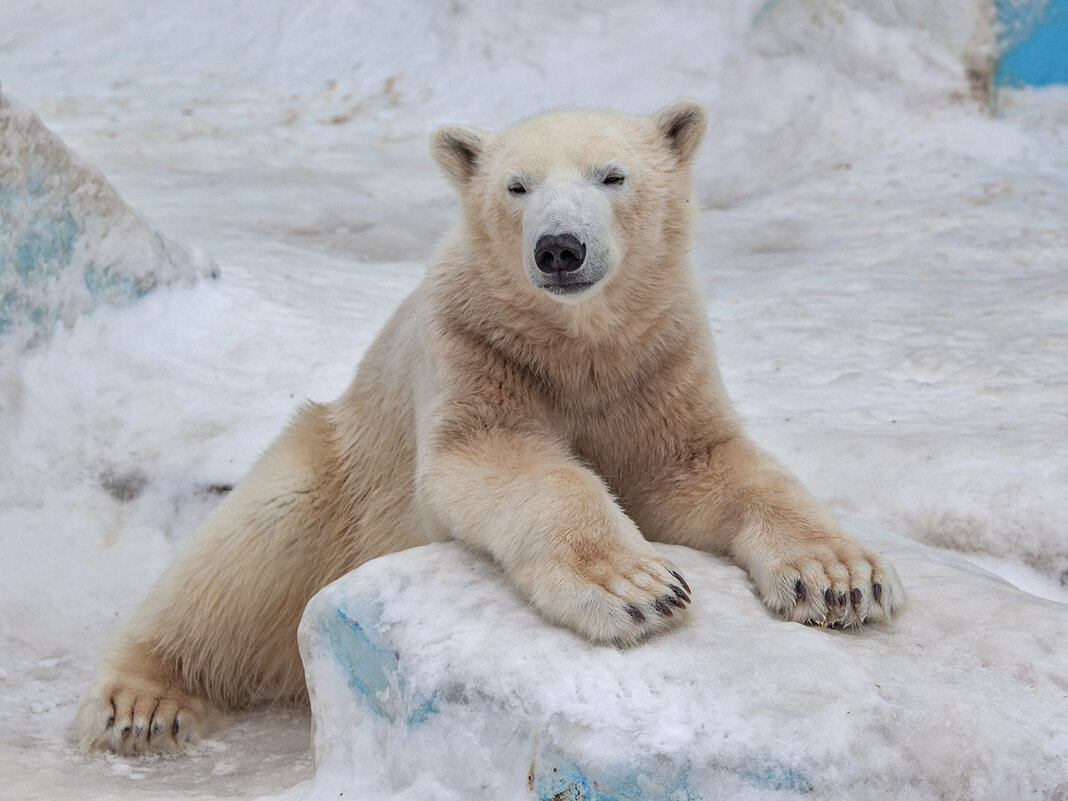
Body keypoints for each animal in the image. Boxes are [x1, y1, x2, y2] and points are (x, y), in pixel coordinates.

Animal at [77, 98, 901, 751]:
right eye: (517, 185)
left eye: (612, 175)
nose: (560, 246)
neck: (580, 349)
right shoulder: (476, 349)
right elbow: (497, 461)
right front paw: (638, 588)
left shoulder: (658, 364)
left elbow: (707, 467)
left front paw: (842, 581)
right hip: (334, 473)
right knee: (248, 549)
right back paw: (142, 702)